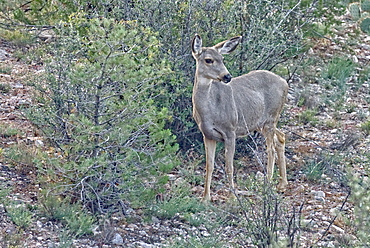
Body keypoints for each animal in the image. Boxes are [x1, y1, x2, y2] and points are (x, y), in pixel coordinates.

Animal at [191, 34, 290, 202]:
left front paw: (232, 196)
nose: (227, 76)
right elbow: (209, 166)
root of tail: (285, 83)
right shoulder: (207, 134)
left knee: (270, 149)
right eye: (209, 60)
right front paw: (205, 198)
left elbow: (229, 167)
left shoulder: (230, 131)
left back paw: (269, 184)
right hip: (261, 123)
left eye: (222, 58)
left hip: (271, 118)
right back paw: (282, 184)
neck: (210, 111)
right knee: (281, 137)